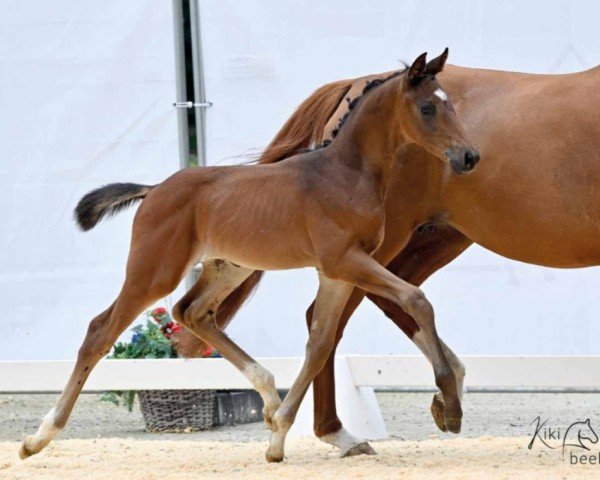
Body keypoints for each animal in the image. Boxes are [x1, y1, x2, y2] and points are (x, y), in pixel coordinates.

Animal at [19, 48, 478, 462]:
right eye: (427, 107)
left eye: (451, 104)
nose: (469, 156)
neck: (346, 173)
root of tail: (154, 189)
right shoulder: (344, 261)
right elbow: (415, 299)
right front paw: (450, 404)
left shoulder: (337, 272)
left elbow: (320, 343)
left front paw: (277, 438)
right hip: (155, 271)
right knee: (101, 331)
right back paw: (38, 438)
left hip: (228, 268)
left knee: (192, 312)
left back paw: (269, 397)